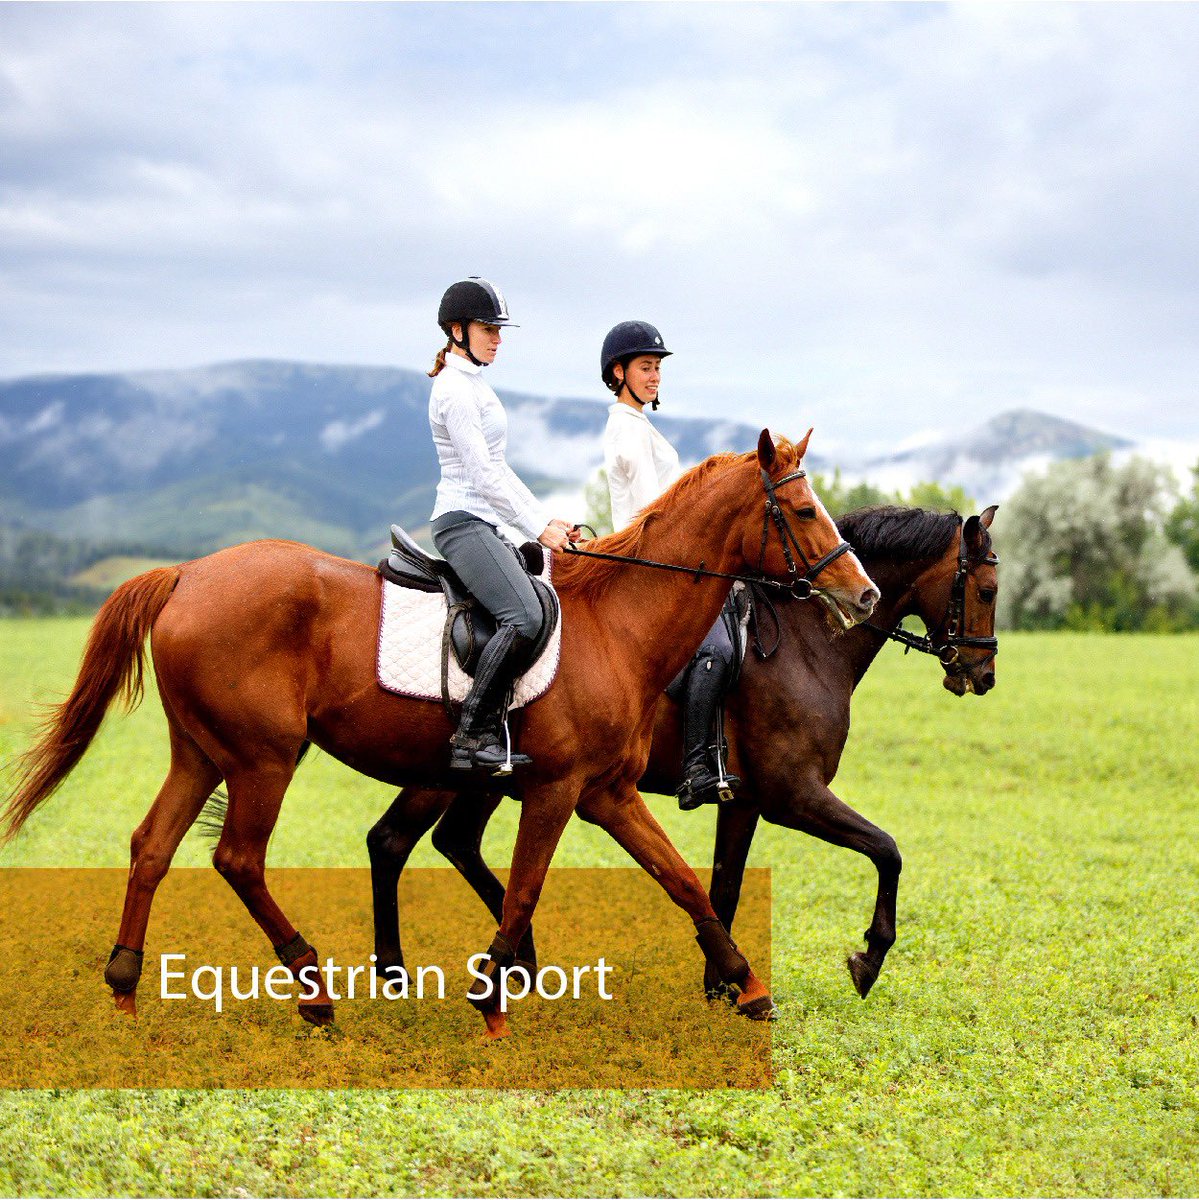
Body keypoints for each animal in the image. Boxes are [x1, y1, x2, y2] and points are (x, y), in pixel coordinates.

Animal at [1, 430, 880, 1039]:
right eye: (803, 510)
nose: (863, 594)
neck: (616, 624)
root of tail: (186, 572)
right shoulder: (557, 791)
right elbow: (527, 887)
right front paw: (491, 999)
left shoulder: (608, 792)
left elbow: (683, 880)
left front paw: (747, 986)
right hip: (263, 757)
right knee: (239, 858)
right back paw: (314, 990)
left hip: (202, 752)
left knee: (151, 847)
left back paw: (125, 986)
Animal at [366, 504, 998, 1004]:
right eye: (988, 590)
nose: (983, 673)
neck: (805, 643)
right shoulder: (793, 795)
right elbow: (887, 850)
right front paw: (868, 958)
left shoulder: (743, 802)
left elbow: (724, 886)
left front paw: (722, 984)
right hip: (455, 771)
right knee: (397, 840)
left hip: (494, 778)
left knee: (445, 841)